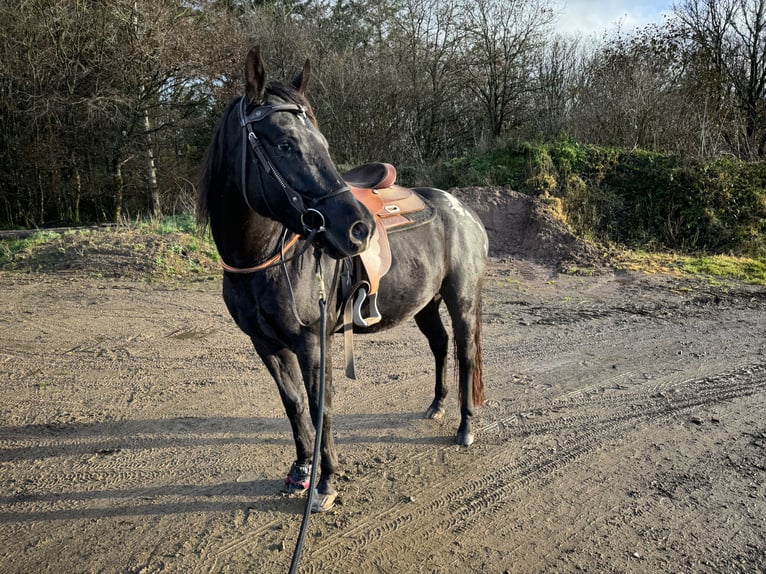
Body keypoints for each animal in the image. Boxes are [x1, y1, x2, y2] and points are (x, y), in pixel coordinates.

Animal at [196, 46, 486, 512]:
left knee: (466, 354)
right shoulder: (265, 344)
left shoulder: (313, 342)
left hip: (461, 299)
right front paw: (299, 471)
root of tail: (463, 210)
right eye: (284, 143)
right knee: (441, 346)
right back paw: (436, 406)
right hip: (425, 303)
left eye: (322, 144)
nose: (358, 229)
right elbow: (294, 403)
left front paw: (326, 482)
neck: (266, 259)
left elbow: (321, 407)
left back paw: (465, 427)